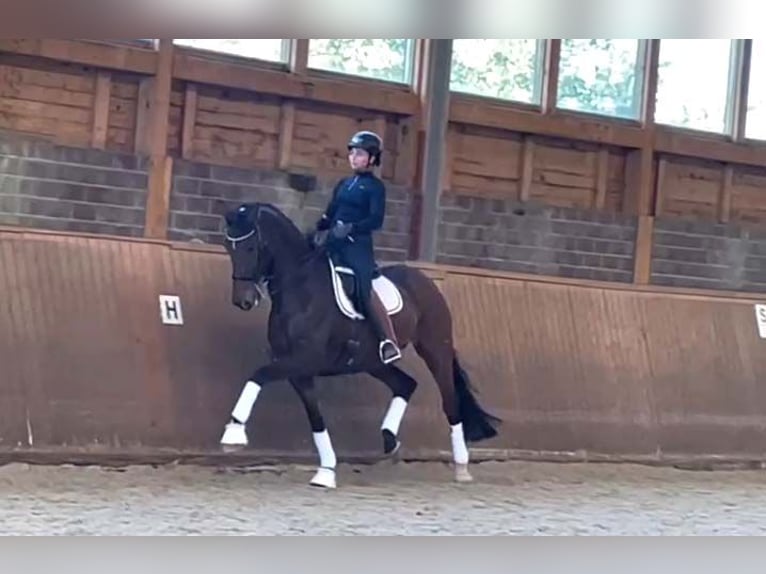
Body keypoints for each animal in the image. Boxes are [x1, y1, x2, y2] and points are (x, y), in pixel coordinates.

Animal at [219, 202, 500, 490]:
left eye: (251, 247)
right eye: (229, 246)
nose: (243, 301)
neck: (301, 290)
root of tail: (424, 279)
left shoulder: (304, 360)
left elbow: (258, 374)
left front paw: (234, 433)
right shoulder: (298, 371)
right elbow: (315, 418)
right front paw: (326, 472)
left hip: (435, 350)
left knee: (449, 400)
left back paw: (461, 468)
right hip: (373, 361)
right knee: (406, 384)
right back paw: (390, 439)